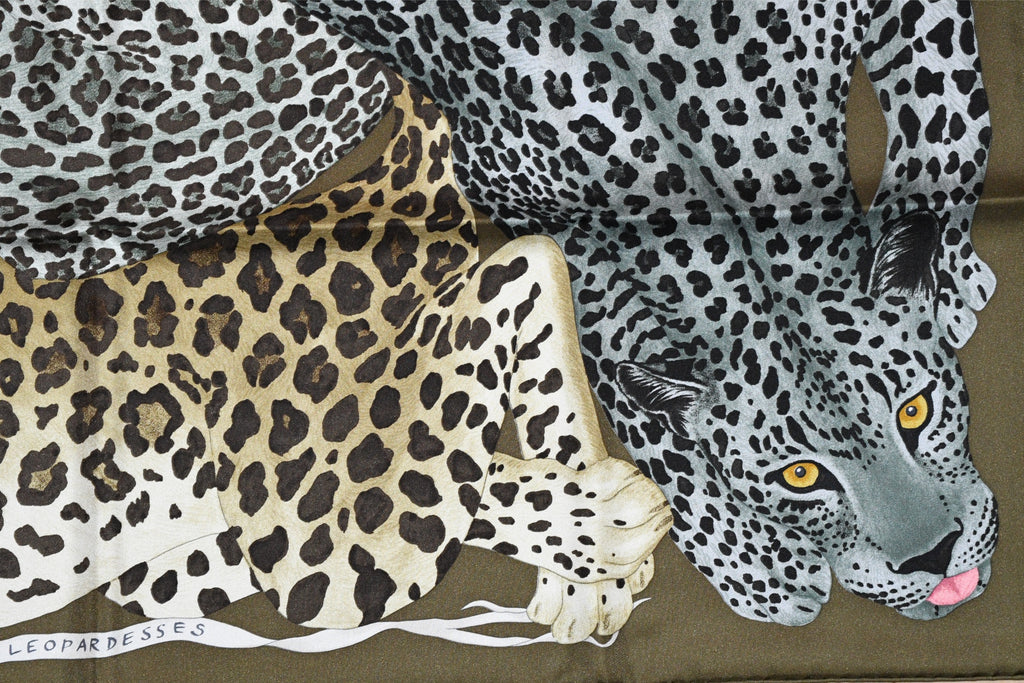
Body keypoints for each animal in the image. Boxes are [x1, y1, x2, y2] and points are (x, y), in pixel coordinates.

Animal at [288, 0, 1000, 625]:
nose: (935, 560)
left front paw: (948, 276)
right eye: (800, 476)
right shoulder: (525, 209)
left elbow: (951, 123)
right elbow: (627, 384)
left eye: (916, 411)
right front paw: (758, 567)